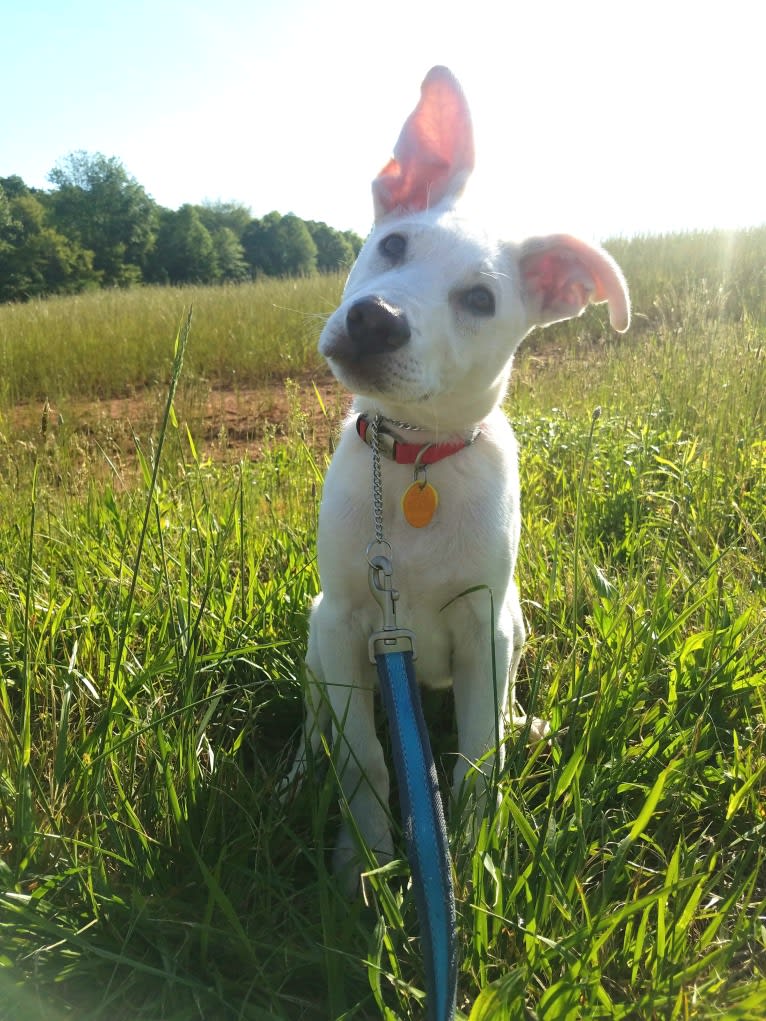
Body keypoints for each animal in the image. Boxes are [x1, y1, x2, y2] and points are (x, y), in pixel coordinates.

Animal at [288, 67, 629, 890]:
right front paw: (364, 858)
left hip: (515, 620)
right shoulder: (346, 621)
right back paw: (304, 763)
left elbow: (477, 754)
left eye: (480, 300)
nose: (376, 319)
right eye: (392, 244)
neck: (415, 461)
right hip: (316, 628)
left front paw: (474, 855)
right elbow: (368, 756)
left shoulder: (484, 624)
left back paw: (523, 723)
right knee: (319, 713)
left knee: (498, 714)